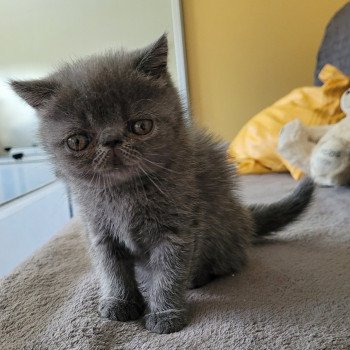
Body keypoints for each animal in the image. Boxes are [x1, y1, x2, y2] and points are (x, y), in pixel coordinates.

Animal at [11, 34, 314, 334]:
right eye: (77, 141)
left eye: (141, 126)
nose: (111, 140)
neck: (125, 194)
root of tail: (245, 217)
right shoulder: (99, 230)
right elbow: (111, 269)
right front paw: (120, 302)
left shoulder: (178, 228)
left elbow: (169, 272)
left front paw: (165, 314)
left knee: (228, 261)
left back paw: (198, 276)